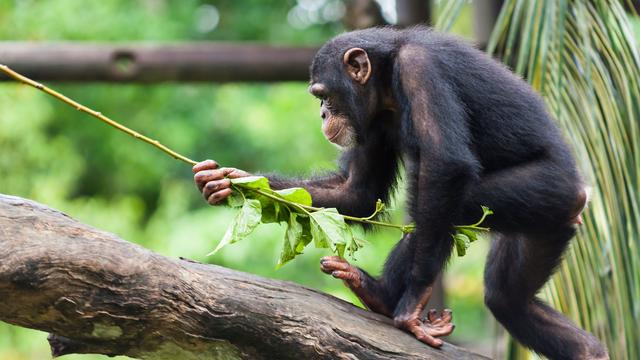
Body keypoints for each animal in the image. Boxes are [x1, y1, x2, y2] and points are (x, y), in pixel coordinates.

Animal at [192, 28, 608, 360]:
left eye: (323, 95)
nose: (323, 114)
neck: (387, 79)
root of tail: (581, 195)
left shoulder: (420, 69)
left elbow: (445, 163)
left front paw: (411, 306)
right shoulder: (371, 121)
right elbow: (357, 192)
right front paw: (229, 180)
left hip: (547, 189)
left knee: (444, 203)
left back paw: (385, 296)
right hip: (548, 225)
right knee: (508, 297)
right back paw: (587, 350)